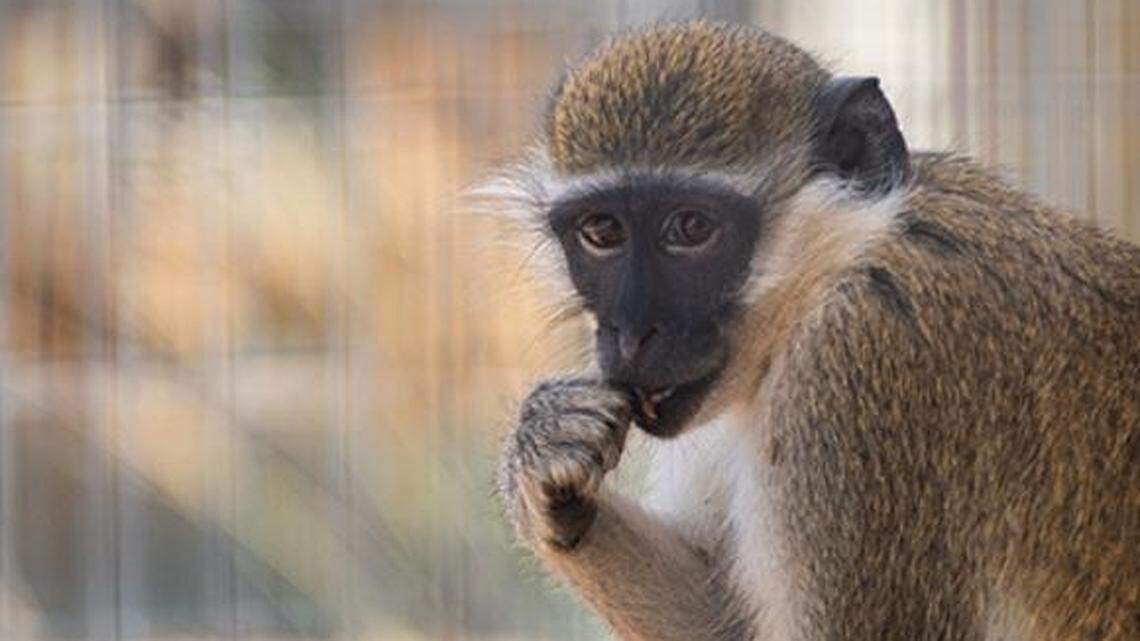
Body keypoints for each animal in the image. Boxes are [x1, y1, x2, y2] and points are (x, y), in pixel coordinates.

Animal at [485, 20, 1140, 641]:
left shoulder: (857, 364)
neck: (840, 259)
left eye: (691, 229)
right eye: (601, 232)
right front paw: (542, 456)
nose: (629, 333)